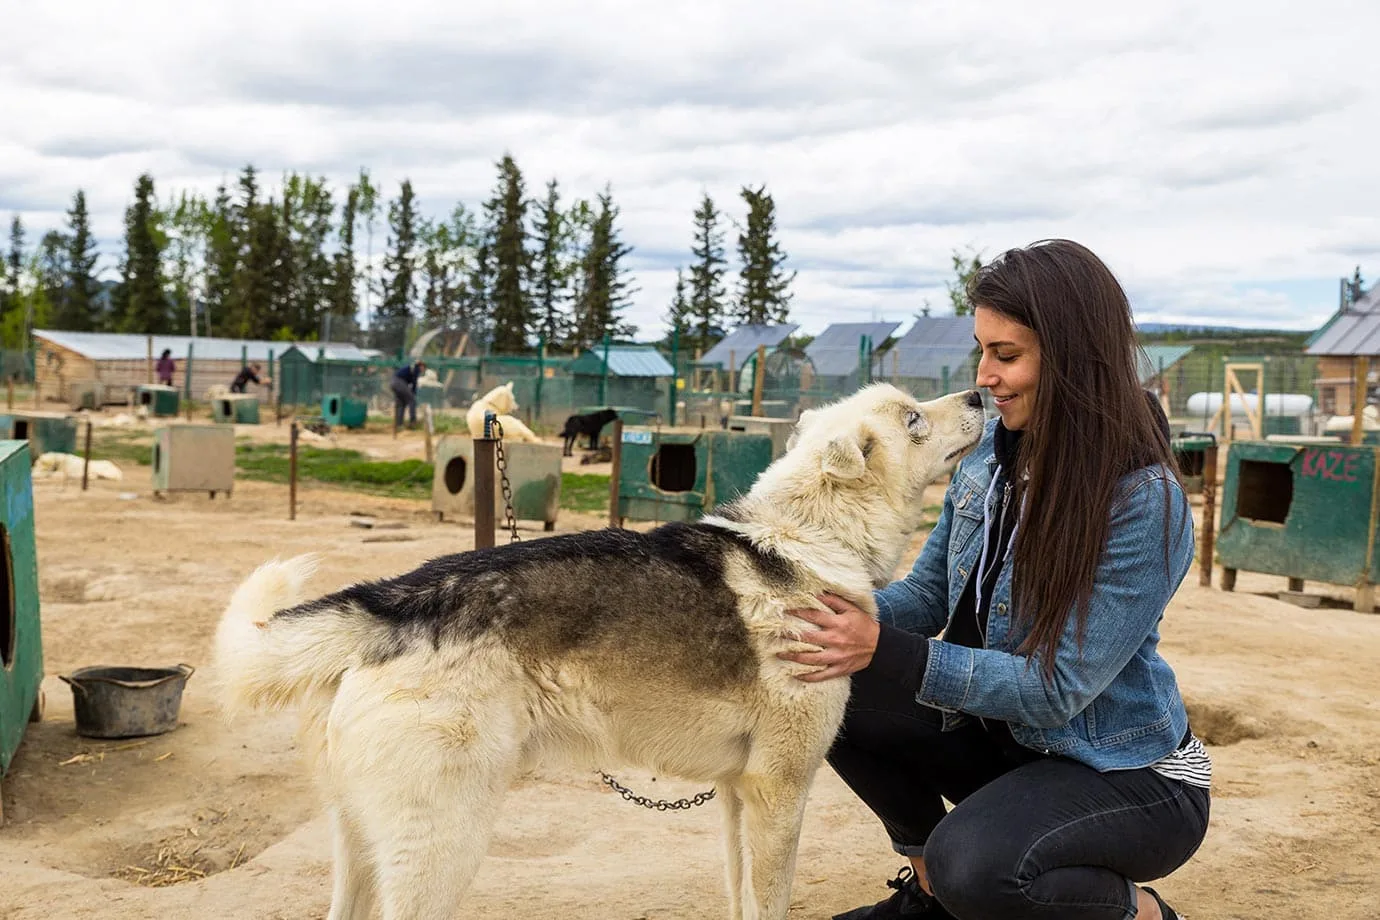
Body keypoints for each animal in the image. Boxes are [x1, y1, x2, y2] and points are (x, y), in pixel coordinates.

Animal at [215, 383, 988, 920]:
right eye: (914, 418)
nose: (980, 394)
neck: (813, 537)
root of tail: (395, 600)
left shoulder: (739, 797)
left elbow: (741, 899)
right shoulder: (779, 792)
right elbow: (768, 902)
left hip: (364, 847)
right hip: (441, 848)